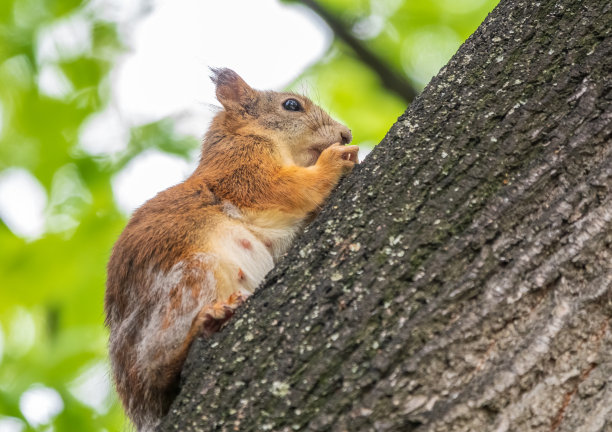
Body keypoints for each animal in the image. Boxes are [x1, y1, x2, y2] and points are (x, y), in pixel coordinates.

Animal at [103, 68, 356, 432]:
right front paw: (334, 161)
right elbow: (287, 187)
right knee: (156, 365)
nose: (346, 134)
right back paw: (205, 322)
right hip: (191, 277)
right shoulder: (242, 170)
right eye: (291, 105)